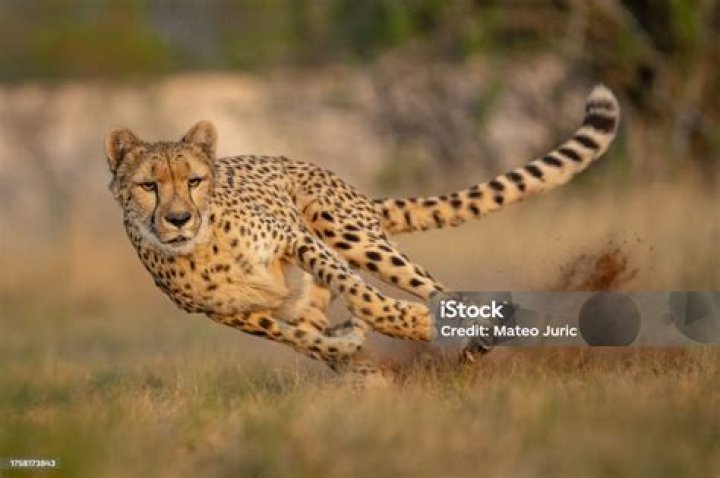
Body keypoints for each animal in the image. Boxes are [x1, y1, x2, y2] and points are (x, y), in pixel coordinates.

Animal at [104, 85, 619, 382]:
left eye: (194, 181)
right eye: (149, 186)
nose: (178, 219)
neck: (203, 246)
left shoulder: (297, 239)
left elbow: (364, 296)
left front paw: (408, 324)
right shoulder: (235, 315)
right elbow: (306, 340)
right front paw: (355, 355)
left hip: (345, 229)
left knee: (436, 289)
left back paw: (481, 327)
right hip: (310, 288)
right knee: (317, 324)